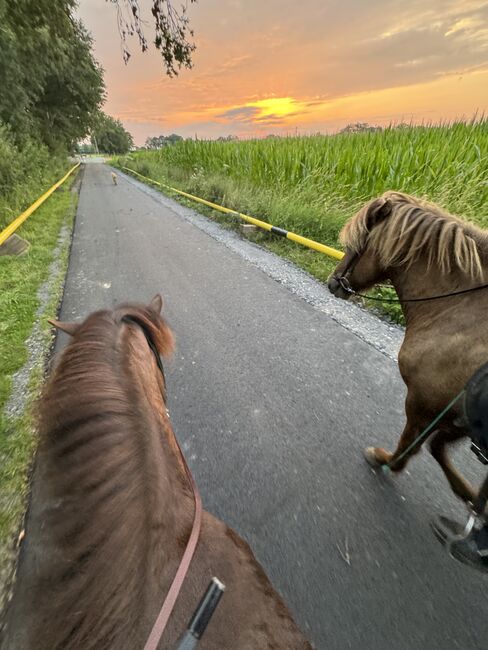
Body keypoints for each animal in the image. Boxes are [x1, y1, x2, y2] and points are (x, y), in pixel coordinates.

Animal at [328, 191, 488, 502]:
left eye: (355, 243)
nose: (333, 282)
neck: (458, 310)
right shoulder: (457, 421)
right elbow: (436, 449)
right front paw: (472, 498)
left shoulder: (423, 404)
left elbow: (410, 446)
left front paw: (382, 458)